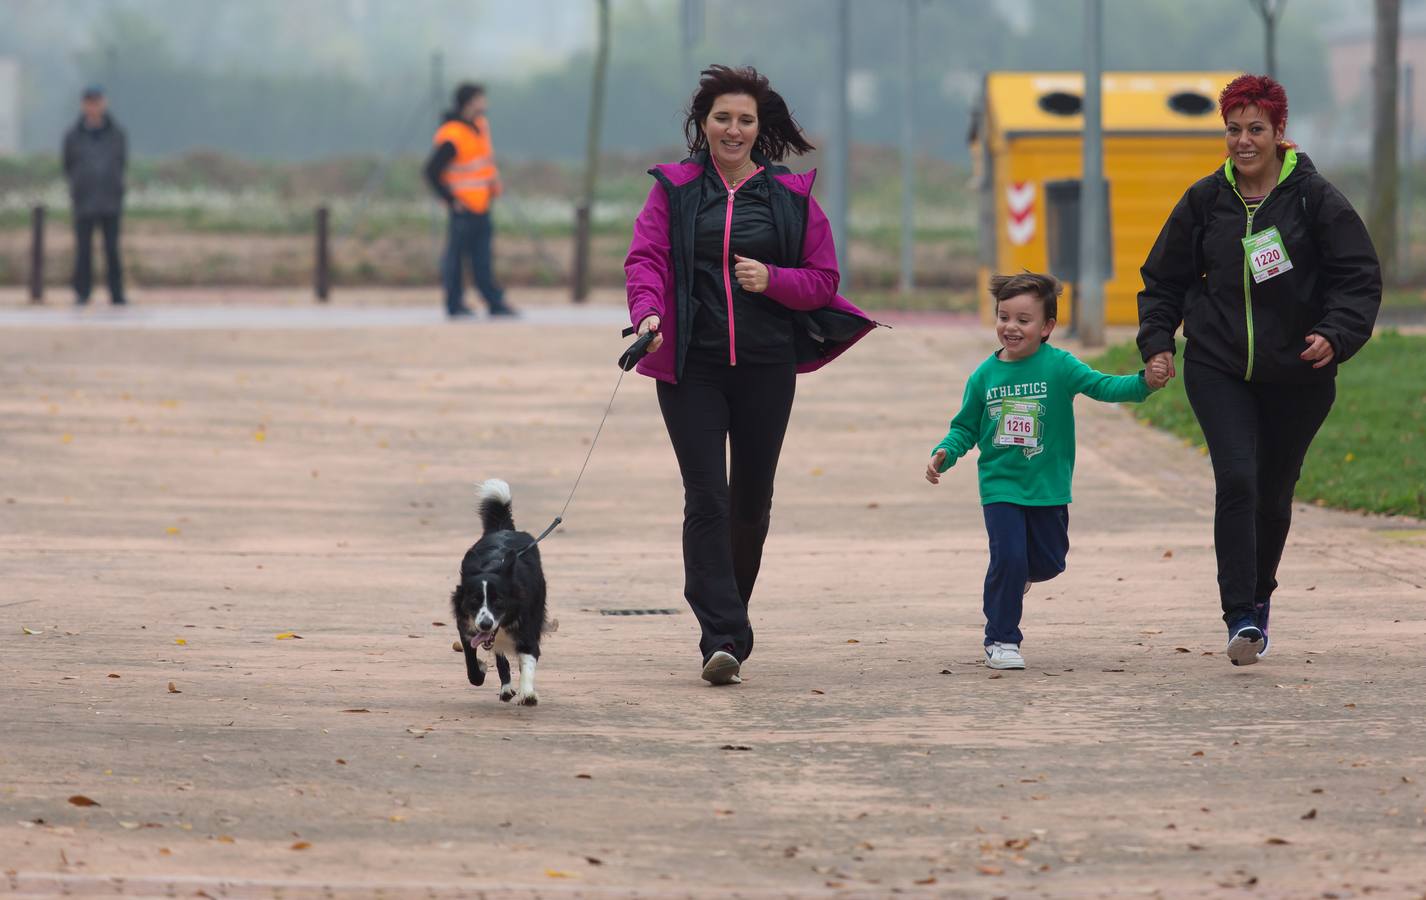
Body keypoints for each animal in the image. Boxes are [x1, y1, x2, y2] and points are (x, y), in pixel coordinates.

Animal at [450, 482, 544, 707]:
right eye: (475, 601)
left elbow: (528, 660)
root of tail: (503, 529)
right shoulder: (466, 628)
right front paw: (481, 668)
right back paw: (506, 688)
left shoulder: (528, 628)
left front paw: (527, 693)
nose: (485, 624)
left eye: (498, 601)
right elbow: (472, 669)